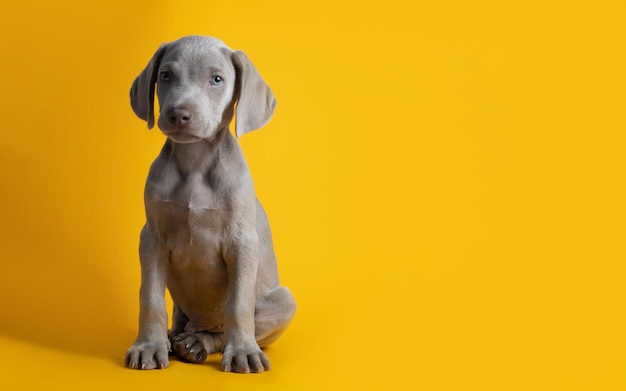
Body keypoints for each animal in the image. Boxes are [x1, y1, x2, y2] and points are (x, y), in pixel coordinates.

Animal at [125, 36, 296, 374]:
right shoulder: (151, 238)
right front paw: (149, 346)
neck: (194, 164)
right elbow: (150, 298)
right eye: (165, 75)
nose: (179, 114)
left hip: (283, 300)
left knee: (222, 330)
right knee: (181, 318)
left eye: (217, 80)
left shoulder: (243, 242)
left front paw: (242, 352)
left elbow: (238, 304)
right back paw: (175, 339)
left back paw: (198, 344)